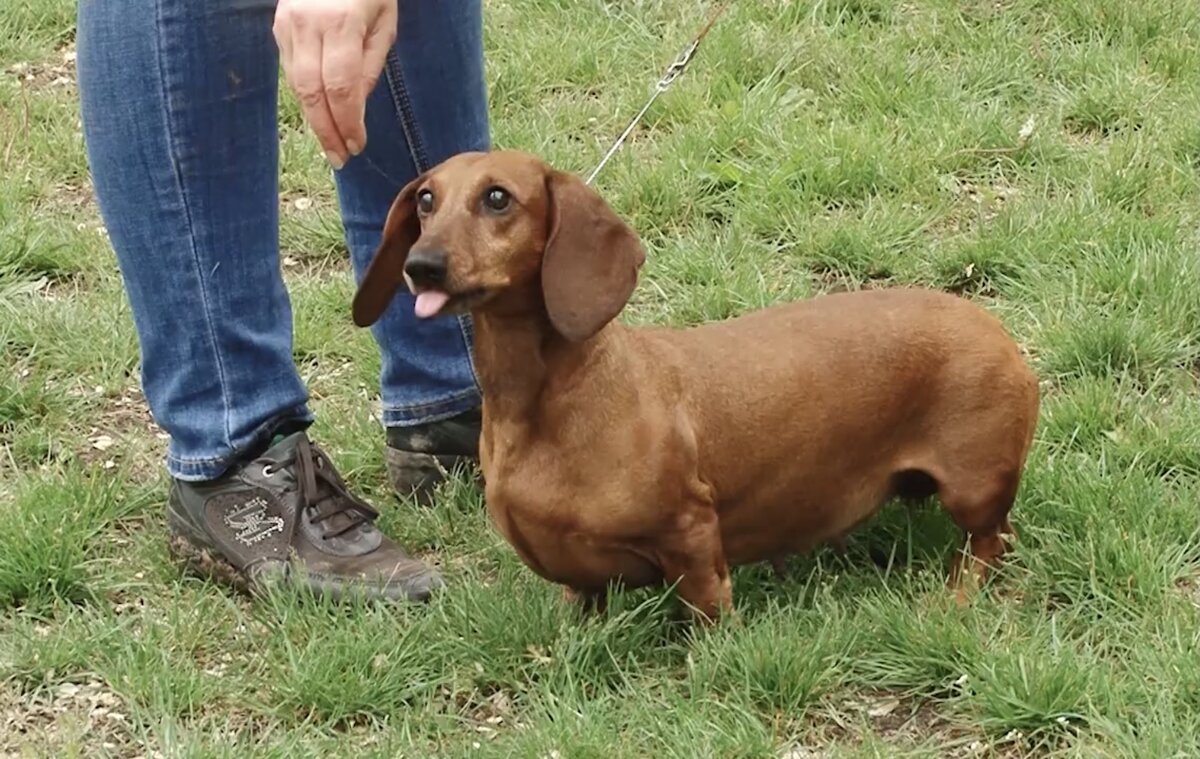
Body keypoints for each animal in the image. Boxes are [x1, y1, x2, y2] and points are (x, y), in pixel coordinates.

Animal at [350, 149, 1041, 624]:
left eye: (498, 198)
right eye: (426, 201)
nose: (421, 265)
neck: (544, 403)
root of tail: (995, 328)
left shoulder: (690, 531)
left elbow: (707, 608)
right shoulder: (579, 579)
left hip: (974, 489)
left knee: (993, 541)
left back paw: (958, 595)